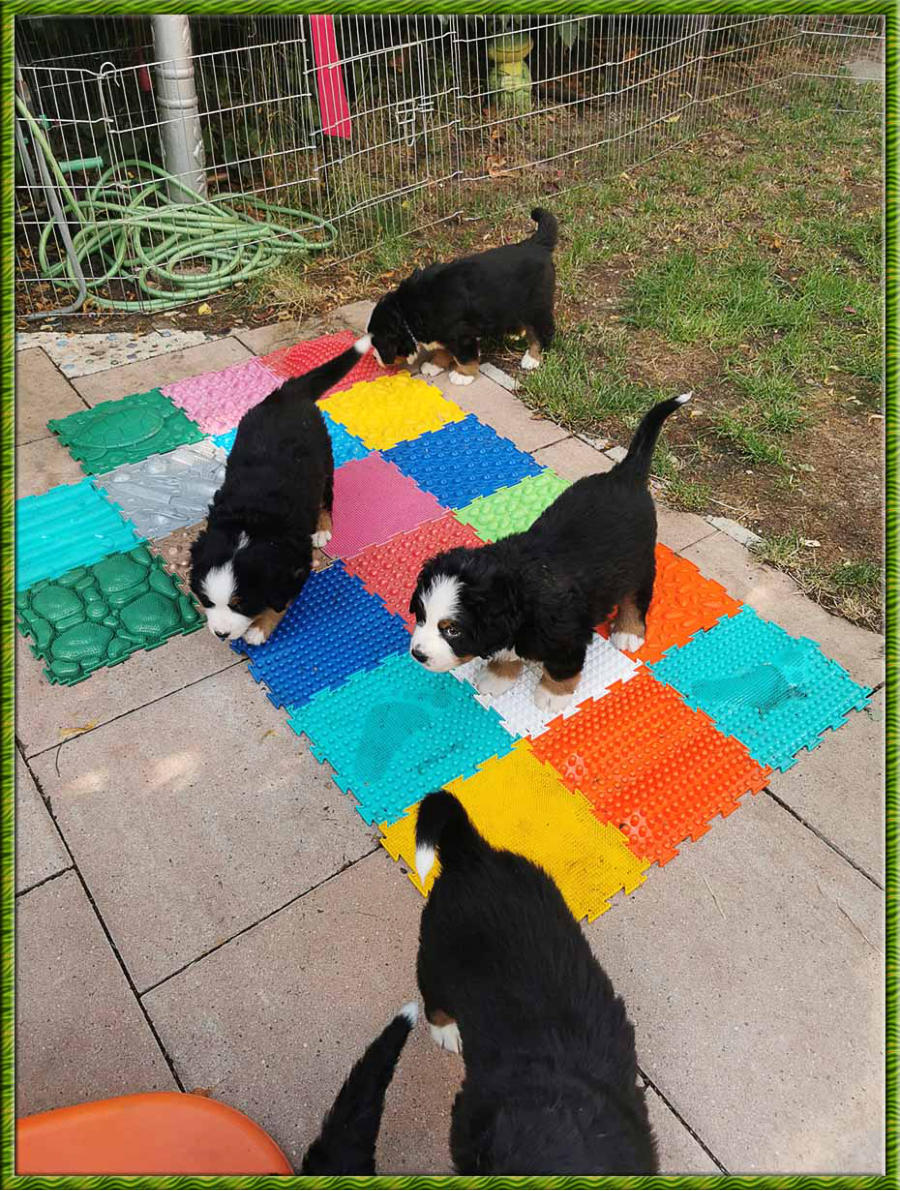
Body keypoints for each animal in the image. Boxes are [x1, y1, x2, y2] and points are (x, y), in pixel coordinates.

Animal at [189, 336, 370, 644]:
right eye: (208, 601)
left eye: (241, 604)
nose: (222, 634)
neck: (249, 525)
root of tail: (286, 393)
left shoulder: (295, 566)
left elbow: (280, 602)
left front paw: (259, 629)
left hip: (324, 458)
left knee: (326, 497)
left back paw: (322, 528)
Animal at [366, 208, 558, 385]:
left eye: (378, 344)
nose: (375, 358)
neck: (407, 311)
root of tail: (536, 244)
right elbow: (443, 350)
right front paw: (435, 365)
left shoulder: (461, 336)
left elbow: (464, 357)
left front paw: (462, 375)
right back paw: (514, 332)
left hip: (536, 304)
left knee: (542, 331)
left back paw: (532, 357)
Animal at [408, 393, 690, 712]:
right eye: (421, 614)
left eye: (452, 630)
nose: (418, 654)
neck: (520, 590)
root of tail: (625, 474)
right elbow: (507, 653)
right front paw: (498, 677)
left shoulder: (566, 637)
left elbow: (561, 668)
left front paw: (551, 697)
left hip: (639, 560)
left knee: (636, 595)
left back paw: (628, 632)